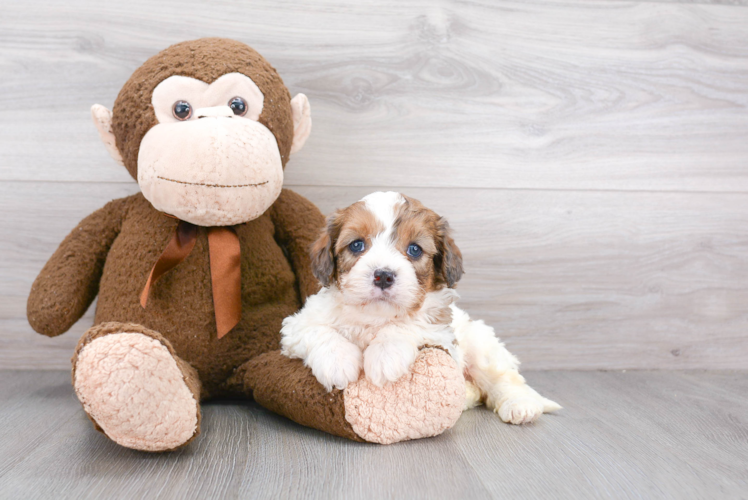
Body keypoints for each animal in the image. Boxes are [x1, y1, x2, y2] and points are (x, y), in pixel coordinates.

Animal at [282, 193, 560, 424]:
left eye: (414, 249)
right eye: (357, 245)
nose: (383, 276)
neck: (375, 316)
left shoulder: (440, 332)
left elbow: (407, 325)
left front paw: (384, 355)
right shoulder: (296, 325)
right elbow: (317, 330)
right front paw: (337, 362)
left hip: (480, 344)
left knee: (504, 378)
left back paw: (521, 405)